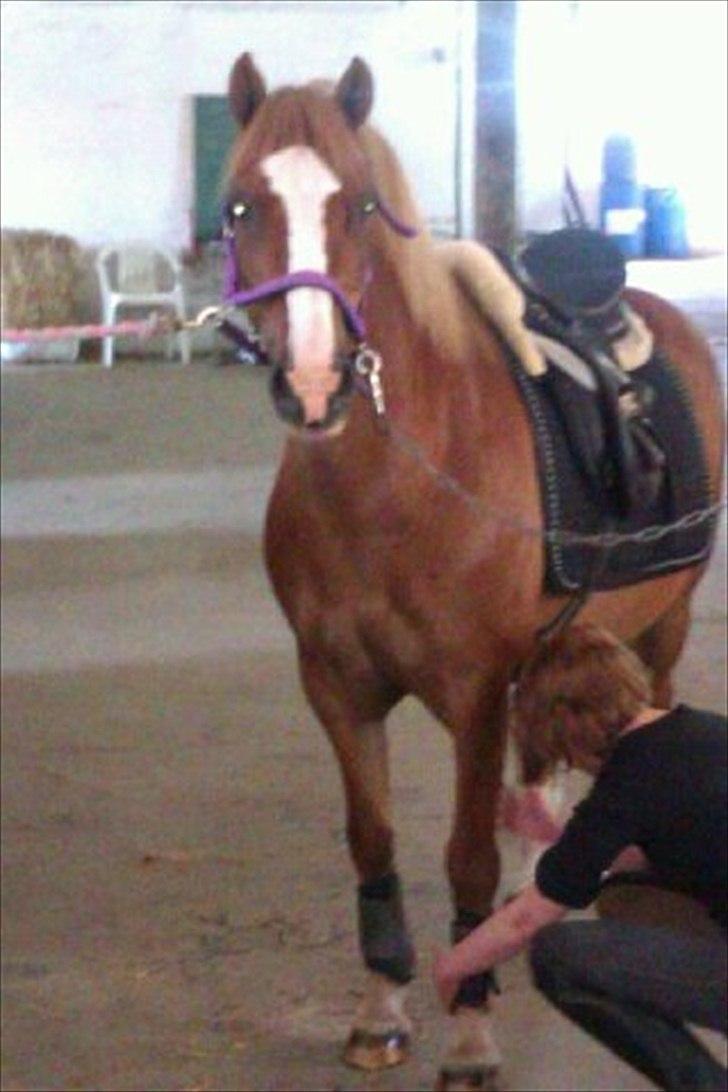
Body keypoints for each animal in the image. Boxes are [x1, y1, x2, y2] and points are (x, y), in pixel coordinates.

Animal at [224, 53, 724, 1092]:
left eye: (362, 204)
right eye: (243, 205)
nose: (317, 384)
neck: (396, 486)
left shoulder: (476, 692)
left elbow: (465, 858)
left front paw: (469, 1034)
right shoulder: (338, 688)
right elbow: (373, 843)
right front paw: (381, 1014)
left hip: (662, 626)